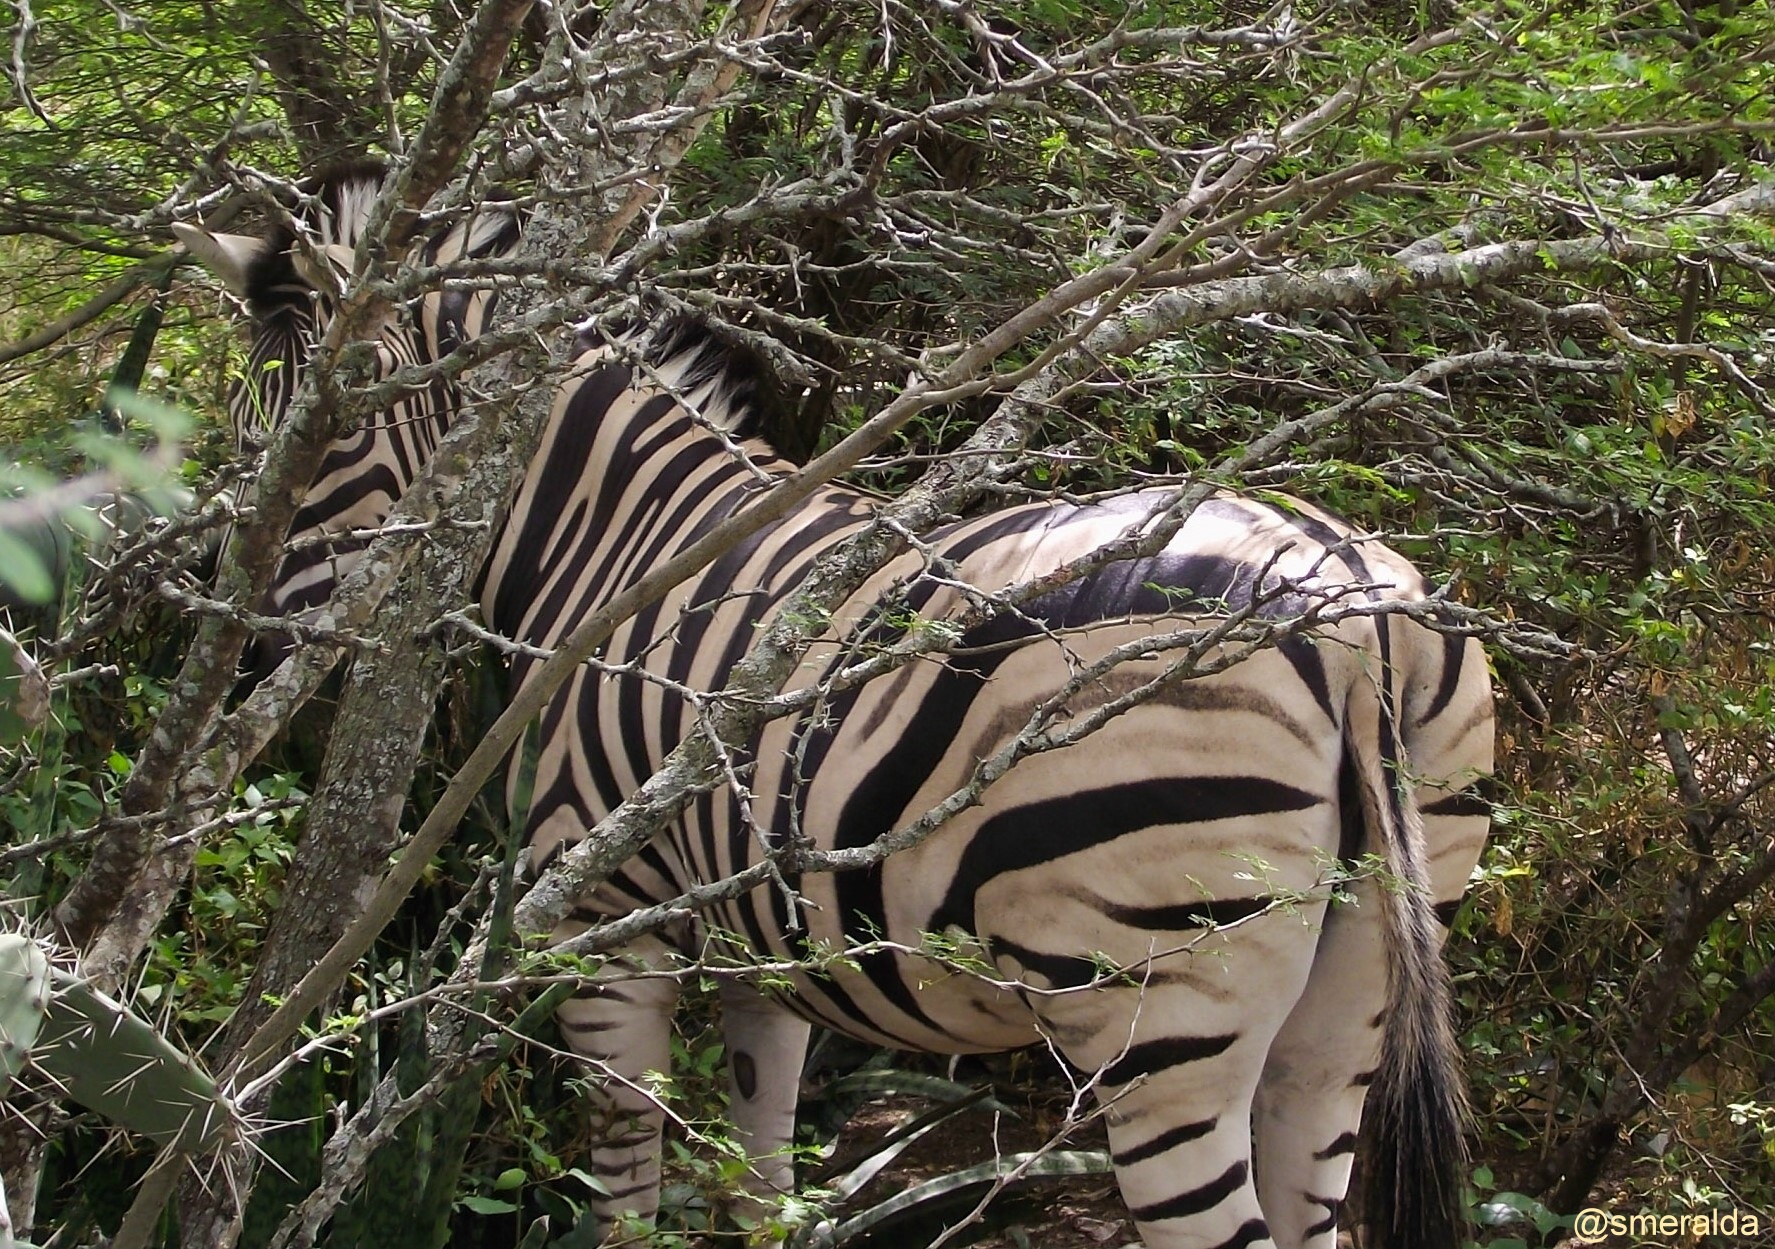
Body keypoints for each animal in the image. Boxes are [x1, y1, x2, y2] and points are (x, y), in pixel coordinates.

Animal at [176, 172, 1498, 1249]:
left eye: (320, 436)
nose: (238, 666)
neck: (625, 551)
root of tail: (1344, 612)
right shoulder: (766, 957)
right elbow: (755, 1186)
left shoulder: (604, 930)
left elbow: (625, 1191)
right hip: (1357, 990)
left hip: (1156, 1009)